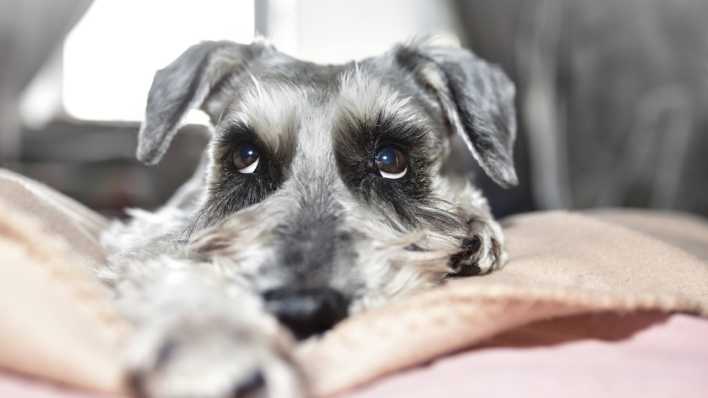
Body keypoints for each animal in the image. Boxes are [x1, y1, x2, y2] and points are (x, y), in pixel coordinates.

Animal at [99, 38, 516, 398]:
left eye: (390, 159)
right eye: (245, 155)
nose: (303, 310)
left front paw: (474, 225)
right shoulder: (151, 232)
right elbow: (173, 265)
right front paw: (213, 341)